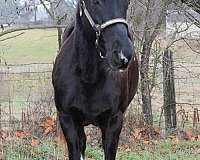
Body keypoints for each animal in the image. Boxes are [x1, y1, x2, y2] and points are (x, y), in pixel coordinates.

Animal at [52, 0, 138, 159]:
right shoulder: (68, 119)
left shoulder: (114, 122)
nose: (123, 54)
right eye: (94, 2)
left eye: (127, 2)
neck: (89, 76)